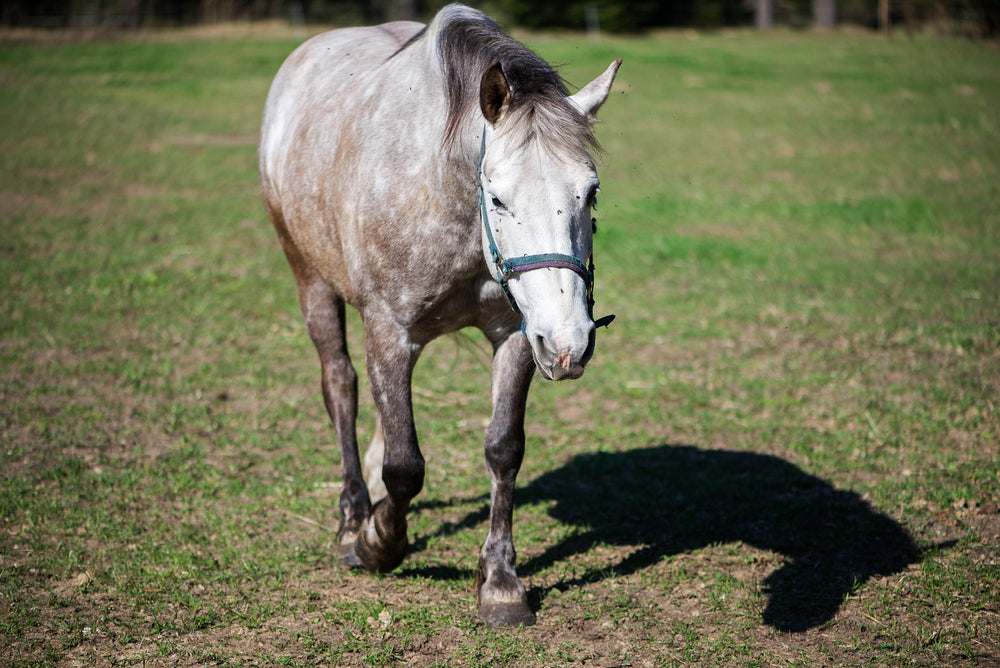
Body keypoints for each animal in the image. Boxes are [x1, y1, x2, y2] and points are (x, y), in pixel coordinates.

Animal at [259, 3, 620, 626]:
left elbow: (503, 448)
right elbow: (405, 465)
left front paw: (499, 581)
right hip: (309, 276)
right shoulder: (389, 332)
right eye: (498, 198)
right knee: (341, 387)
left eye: (591, 193)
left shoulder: (517, 335)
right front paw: (379, 542)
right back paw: (353, 517)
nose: (570, 343)